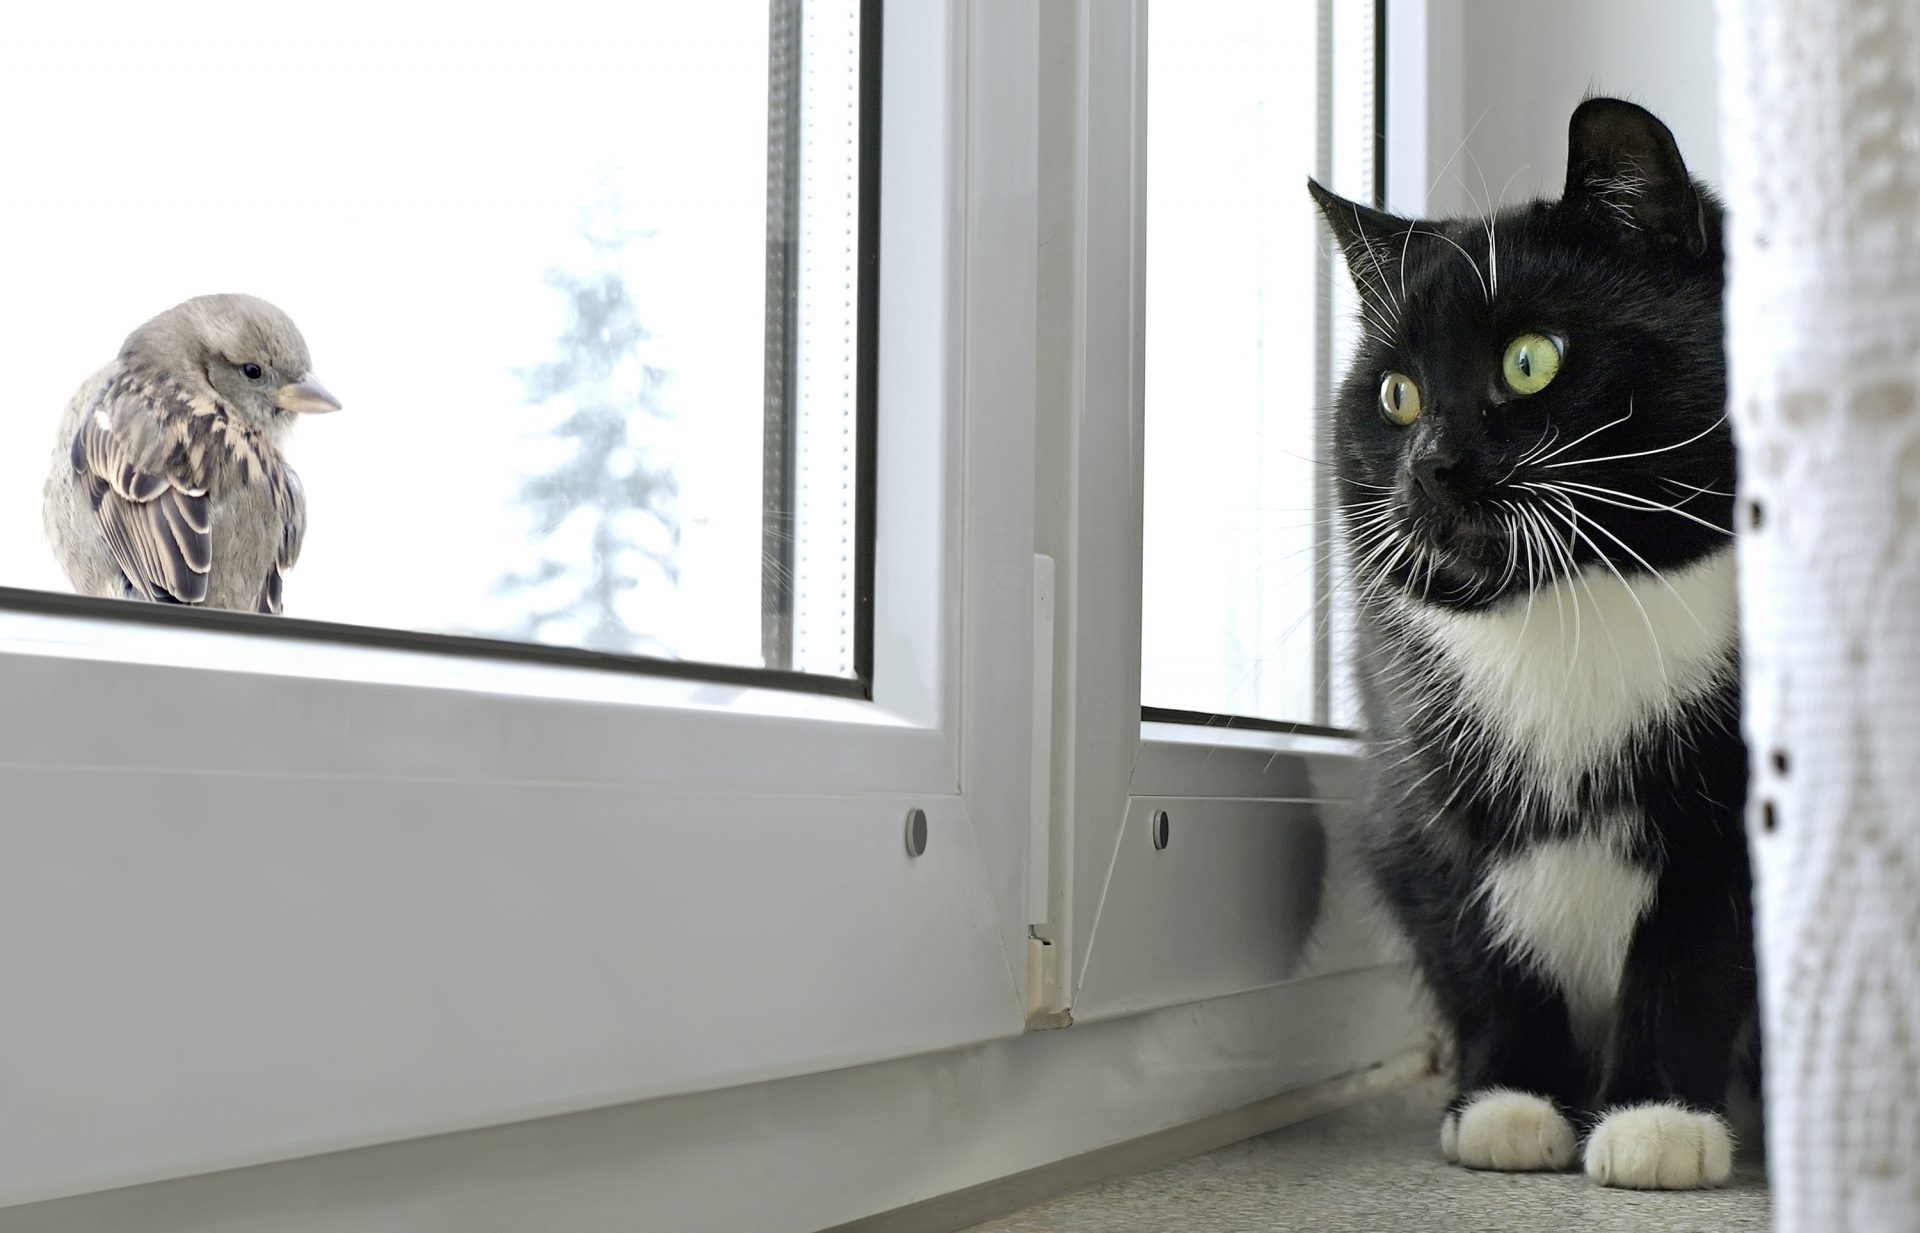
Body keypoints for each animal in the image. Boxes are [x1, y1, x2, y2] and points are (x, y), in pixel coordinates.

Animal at [1305, 98, 1758, 1190]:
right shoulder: (1413, 783)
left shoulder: (1734, 805)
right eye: (1395, 396)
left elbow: (1696, 950)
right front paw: (1509, 1103)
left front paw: (1656, 1118)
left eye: (1530, 360)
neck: (1574, 606)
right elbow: (1478, 942)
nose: (1430, 465)